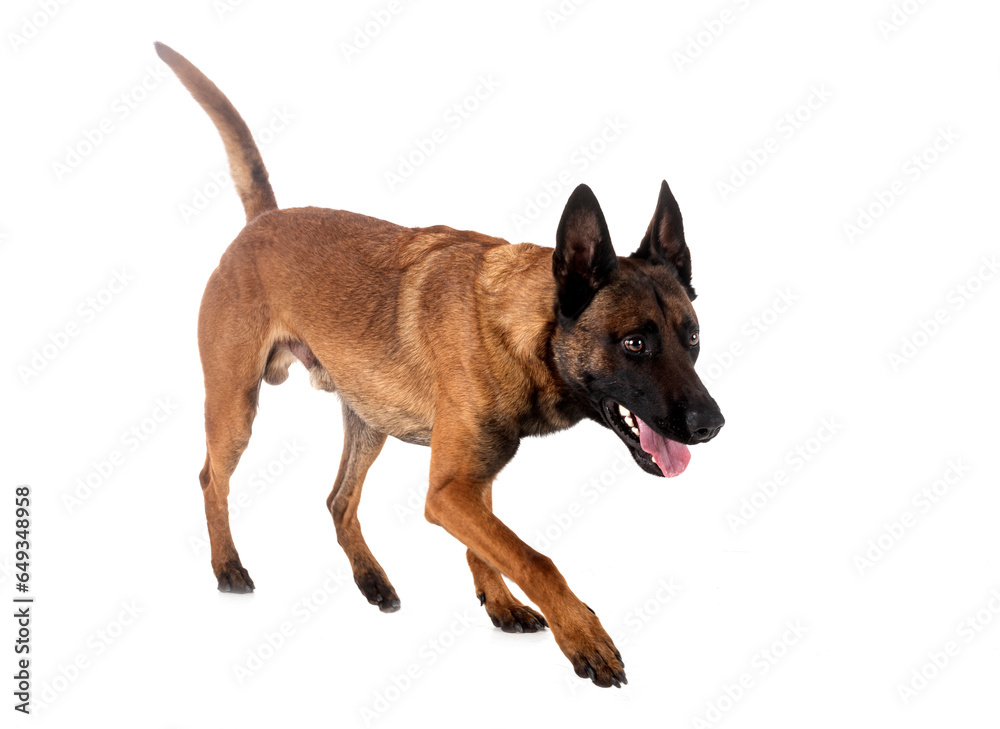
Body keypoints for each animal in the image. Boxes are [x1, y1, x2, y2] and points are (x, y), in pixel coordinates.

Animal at [155, 42, 724, 688]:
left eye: (693, 338)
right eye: (633, 344)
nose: (711, 424)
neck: (515, 329)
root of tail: (261, 223)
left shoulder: (471, 481)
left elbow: (492, 547)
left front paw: (499, 602)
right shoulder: (450, 490)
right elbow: (535, 558)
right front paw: (584, 635)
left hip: (368, 420)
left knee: (338, 500)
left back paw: (371, 579)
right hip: (235, 405)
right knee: (212, 478)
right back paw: (228, 566)